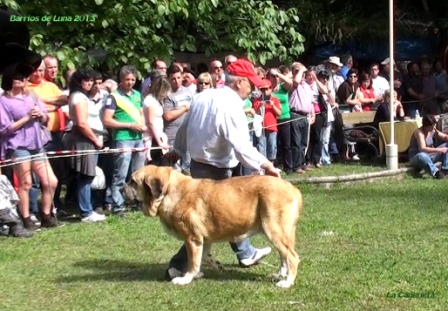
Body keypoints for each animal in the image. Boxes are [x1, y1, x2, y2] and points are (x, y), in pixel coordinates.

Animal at [122, 165, 302, 288]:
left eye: (133, 181)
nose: (121, 189)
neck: (168, 192)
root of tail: (294, 189)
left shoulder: (192, 238)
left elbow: (193, 261)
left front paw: (186, 278)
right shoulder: (202, 239)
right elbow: (204, 257)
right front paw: (212, 267)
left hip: (274, 229)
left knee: (292, 256)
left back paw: (287, 283)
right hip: (279, 232)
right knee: (284, 255)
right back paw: (280, 275)